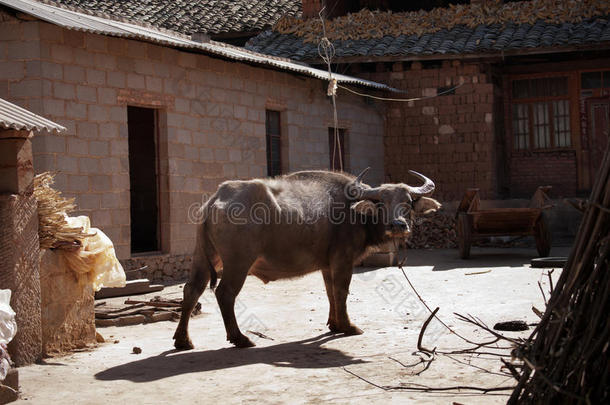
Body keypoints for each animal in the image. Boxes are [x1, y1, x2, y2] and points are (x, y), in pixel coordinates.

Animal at [173, 167, 440, 348]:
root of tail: (215, 200)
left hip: (202, 256)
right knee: (225, 293)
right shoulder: (343, 260)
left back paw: (183, 340)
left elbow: (330, 292)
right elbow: (341, 291)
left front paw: (334, 324)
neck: (353, 212)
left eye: (408, 203)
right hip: (238, 262)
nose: (398, 225)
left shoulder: (327, 264)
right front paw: (348, 326)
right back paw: (240, 338)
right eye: (381, 203)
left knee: (191, 290)